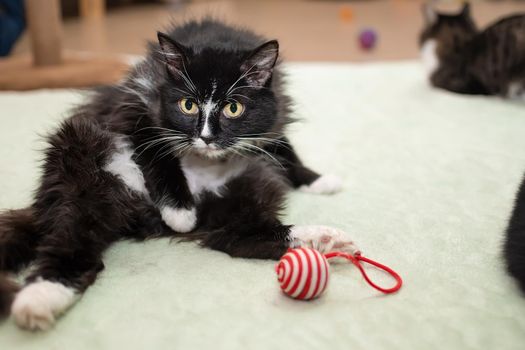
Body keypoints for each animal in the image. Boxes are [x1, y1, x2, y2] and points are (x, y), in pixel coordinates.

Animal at [0, 19, 356, 330]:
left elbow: (283, 145)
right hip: (83, 169)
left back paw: (326, 238)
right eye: (188, 105)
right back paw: (37, 301)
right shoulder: (134, 104)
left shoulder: (274, 114)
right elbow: (158, 153)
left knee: (244, 235)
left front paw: (317, 179)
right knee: (71, 243)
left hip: (239, 190)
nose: (207, 137)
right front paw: (179, 211)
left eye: (233, 108)